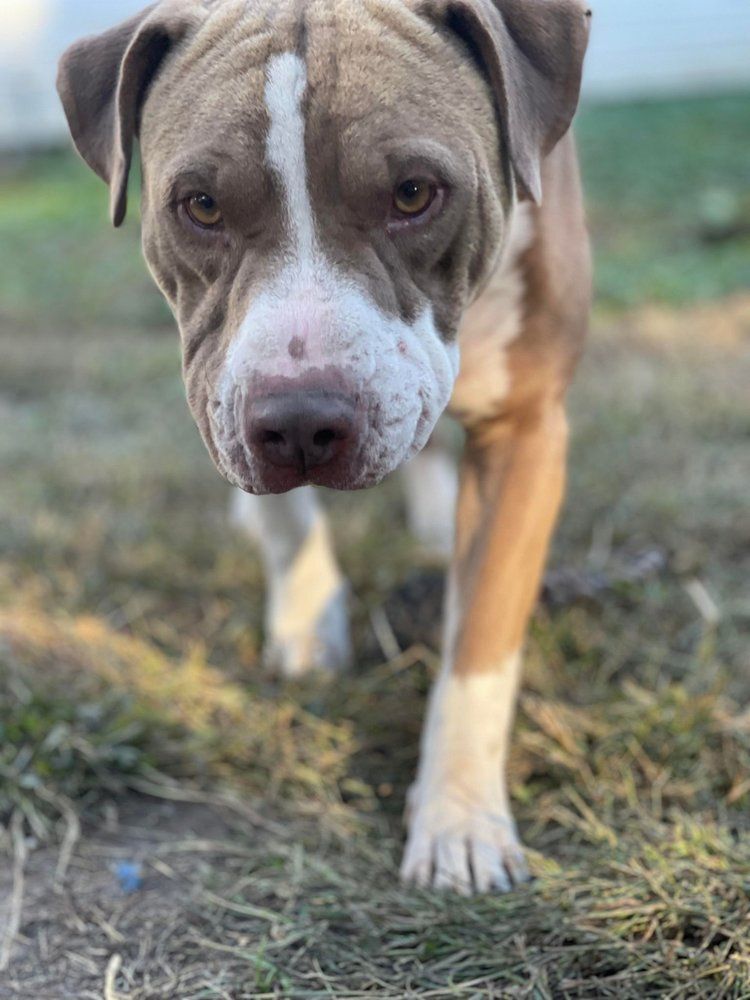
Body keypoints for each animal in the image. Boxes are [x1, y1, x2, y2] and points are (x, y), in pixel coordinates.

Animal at [58, 0, 592, 892]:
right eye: (200, 205)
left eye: (414, 193)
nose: (302, 423)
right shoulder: (220, 380)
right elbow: (283, 515)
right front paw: (308, 619)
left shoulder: (526, 425)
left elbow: (479, 642)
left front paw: (459, 818)